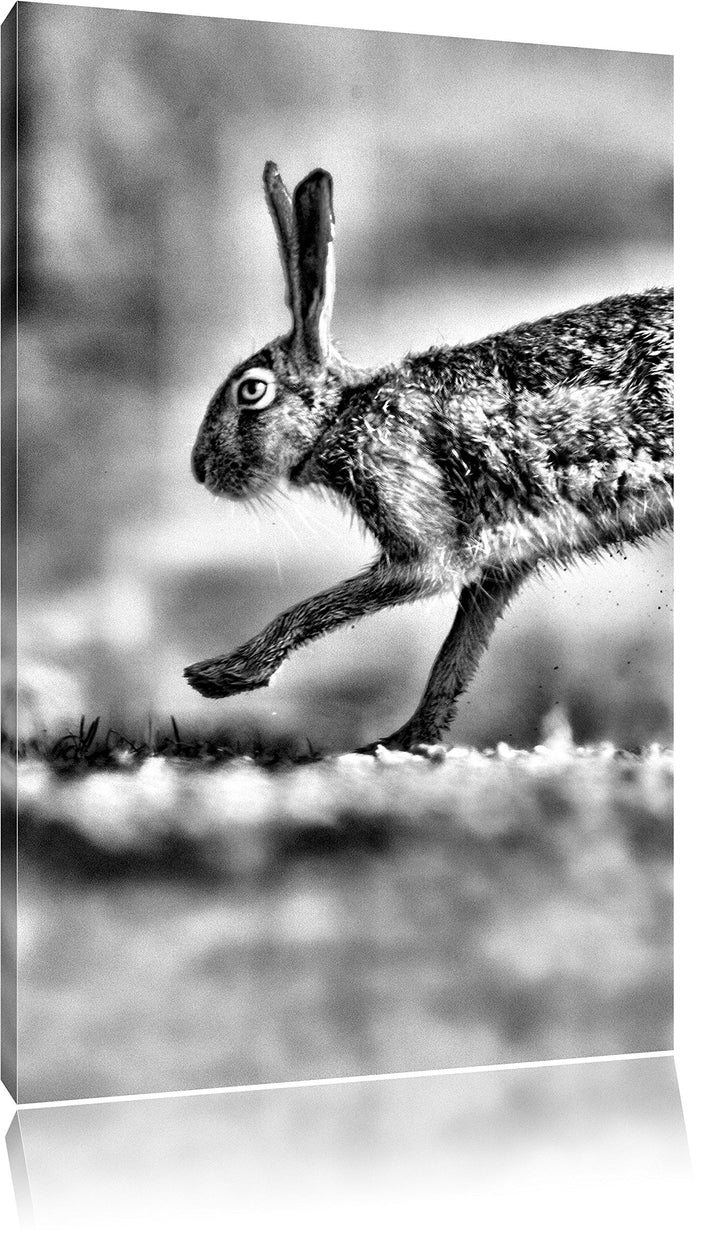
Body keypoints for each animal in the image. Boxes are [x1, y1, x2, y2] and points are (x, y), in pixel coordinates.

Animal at [185, 161, 673, 752]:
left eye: (252, 391)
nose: (200, 471)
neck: (343, 414)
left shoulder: (420, 537)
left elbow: (329, 604)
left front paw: (221, 676)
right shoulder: (501, 562)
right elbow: (455, 654)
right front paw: (405, 740)